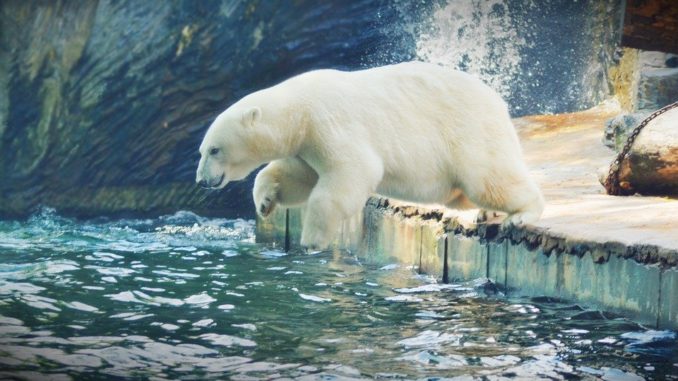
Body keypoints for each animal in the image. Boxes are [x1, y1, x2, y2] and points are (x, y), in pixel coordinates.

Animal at [197, 60, 548, 248]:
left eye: (214, 149)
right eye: (202, 149)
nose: (201, 180)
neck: (298, 111)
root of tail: (497, 100)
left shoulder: (330, 123)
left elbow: (350, 175)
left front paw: (311, 240)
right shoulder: (307, 143)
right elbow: (297, 176)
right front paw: (265, 201)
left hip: (467, 132)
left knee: (488, 178)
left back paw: (521, 214)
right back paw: (484, 213)